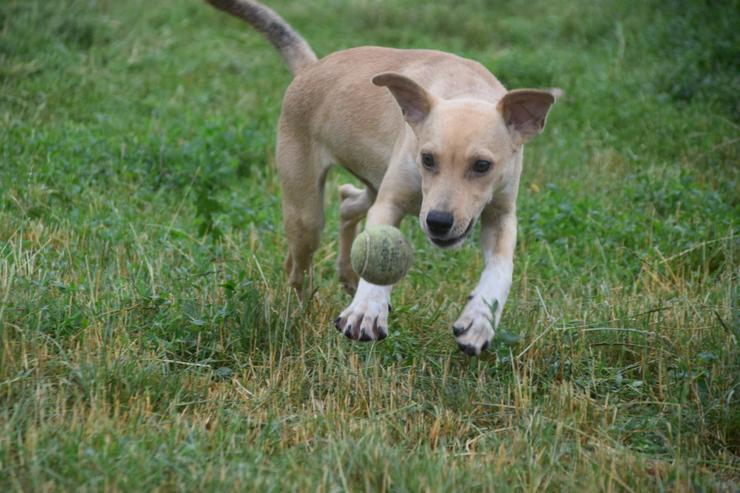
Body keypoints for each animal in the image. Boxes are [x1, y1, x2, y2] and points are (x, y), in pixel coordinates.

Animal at [204, 0, 560, 354]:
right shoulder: (391, 202)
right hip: (306, 209)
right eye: (427, 159)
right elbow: (378, 246)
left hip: (372, 183)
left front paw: (479, 320)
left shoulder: (501, 214)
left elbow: (501, 268)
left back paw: (348, 276)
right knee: (298, 264)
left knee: (347, 201)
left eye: (482, 165)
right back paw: (301, 312)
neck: (465, 91)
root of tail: (310, 68)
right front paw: (366, 311)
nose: (438, 222)